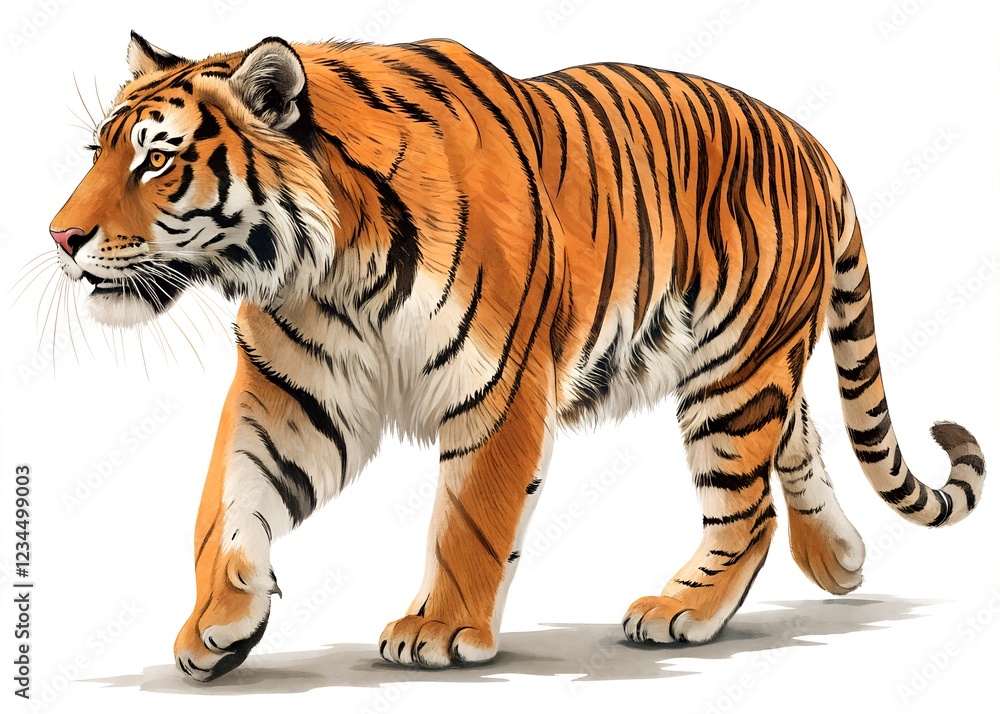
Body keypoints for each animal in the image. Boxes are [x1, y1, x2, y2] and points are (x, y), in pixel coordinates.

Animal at [48, 32, 986, 682]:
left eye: (158, 159)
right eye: (99, 151)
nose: (60, 237)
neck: (327, 269)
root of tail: (811, 143)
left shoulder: (497, 388)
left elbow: (470, 521)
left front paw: (435, 632)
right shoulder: (291, 394)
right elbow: (226, 504)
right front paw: (217, 622)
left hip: (733, 378)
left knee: (744, 509)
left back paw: (680, 608)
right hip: (754, 364)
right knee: (800, 437)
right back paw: (840, 558)